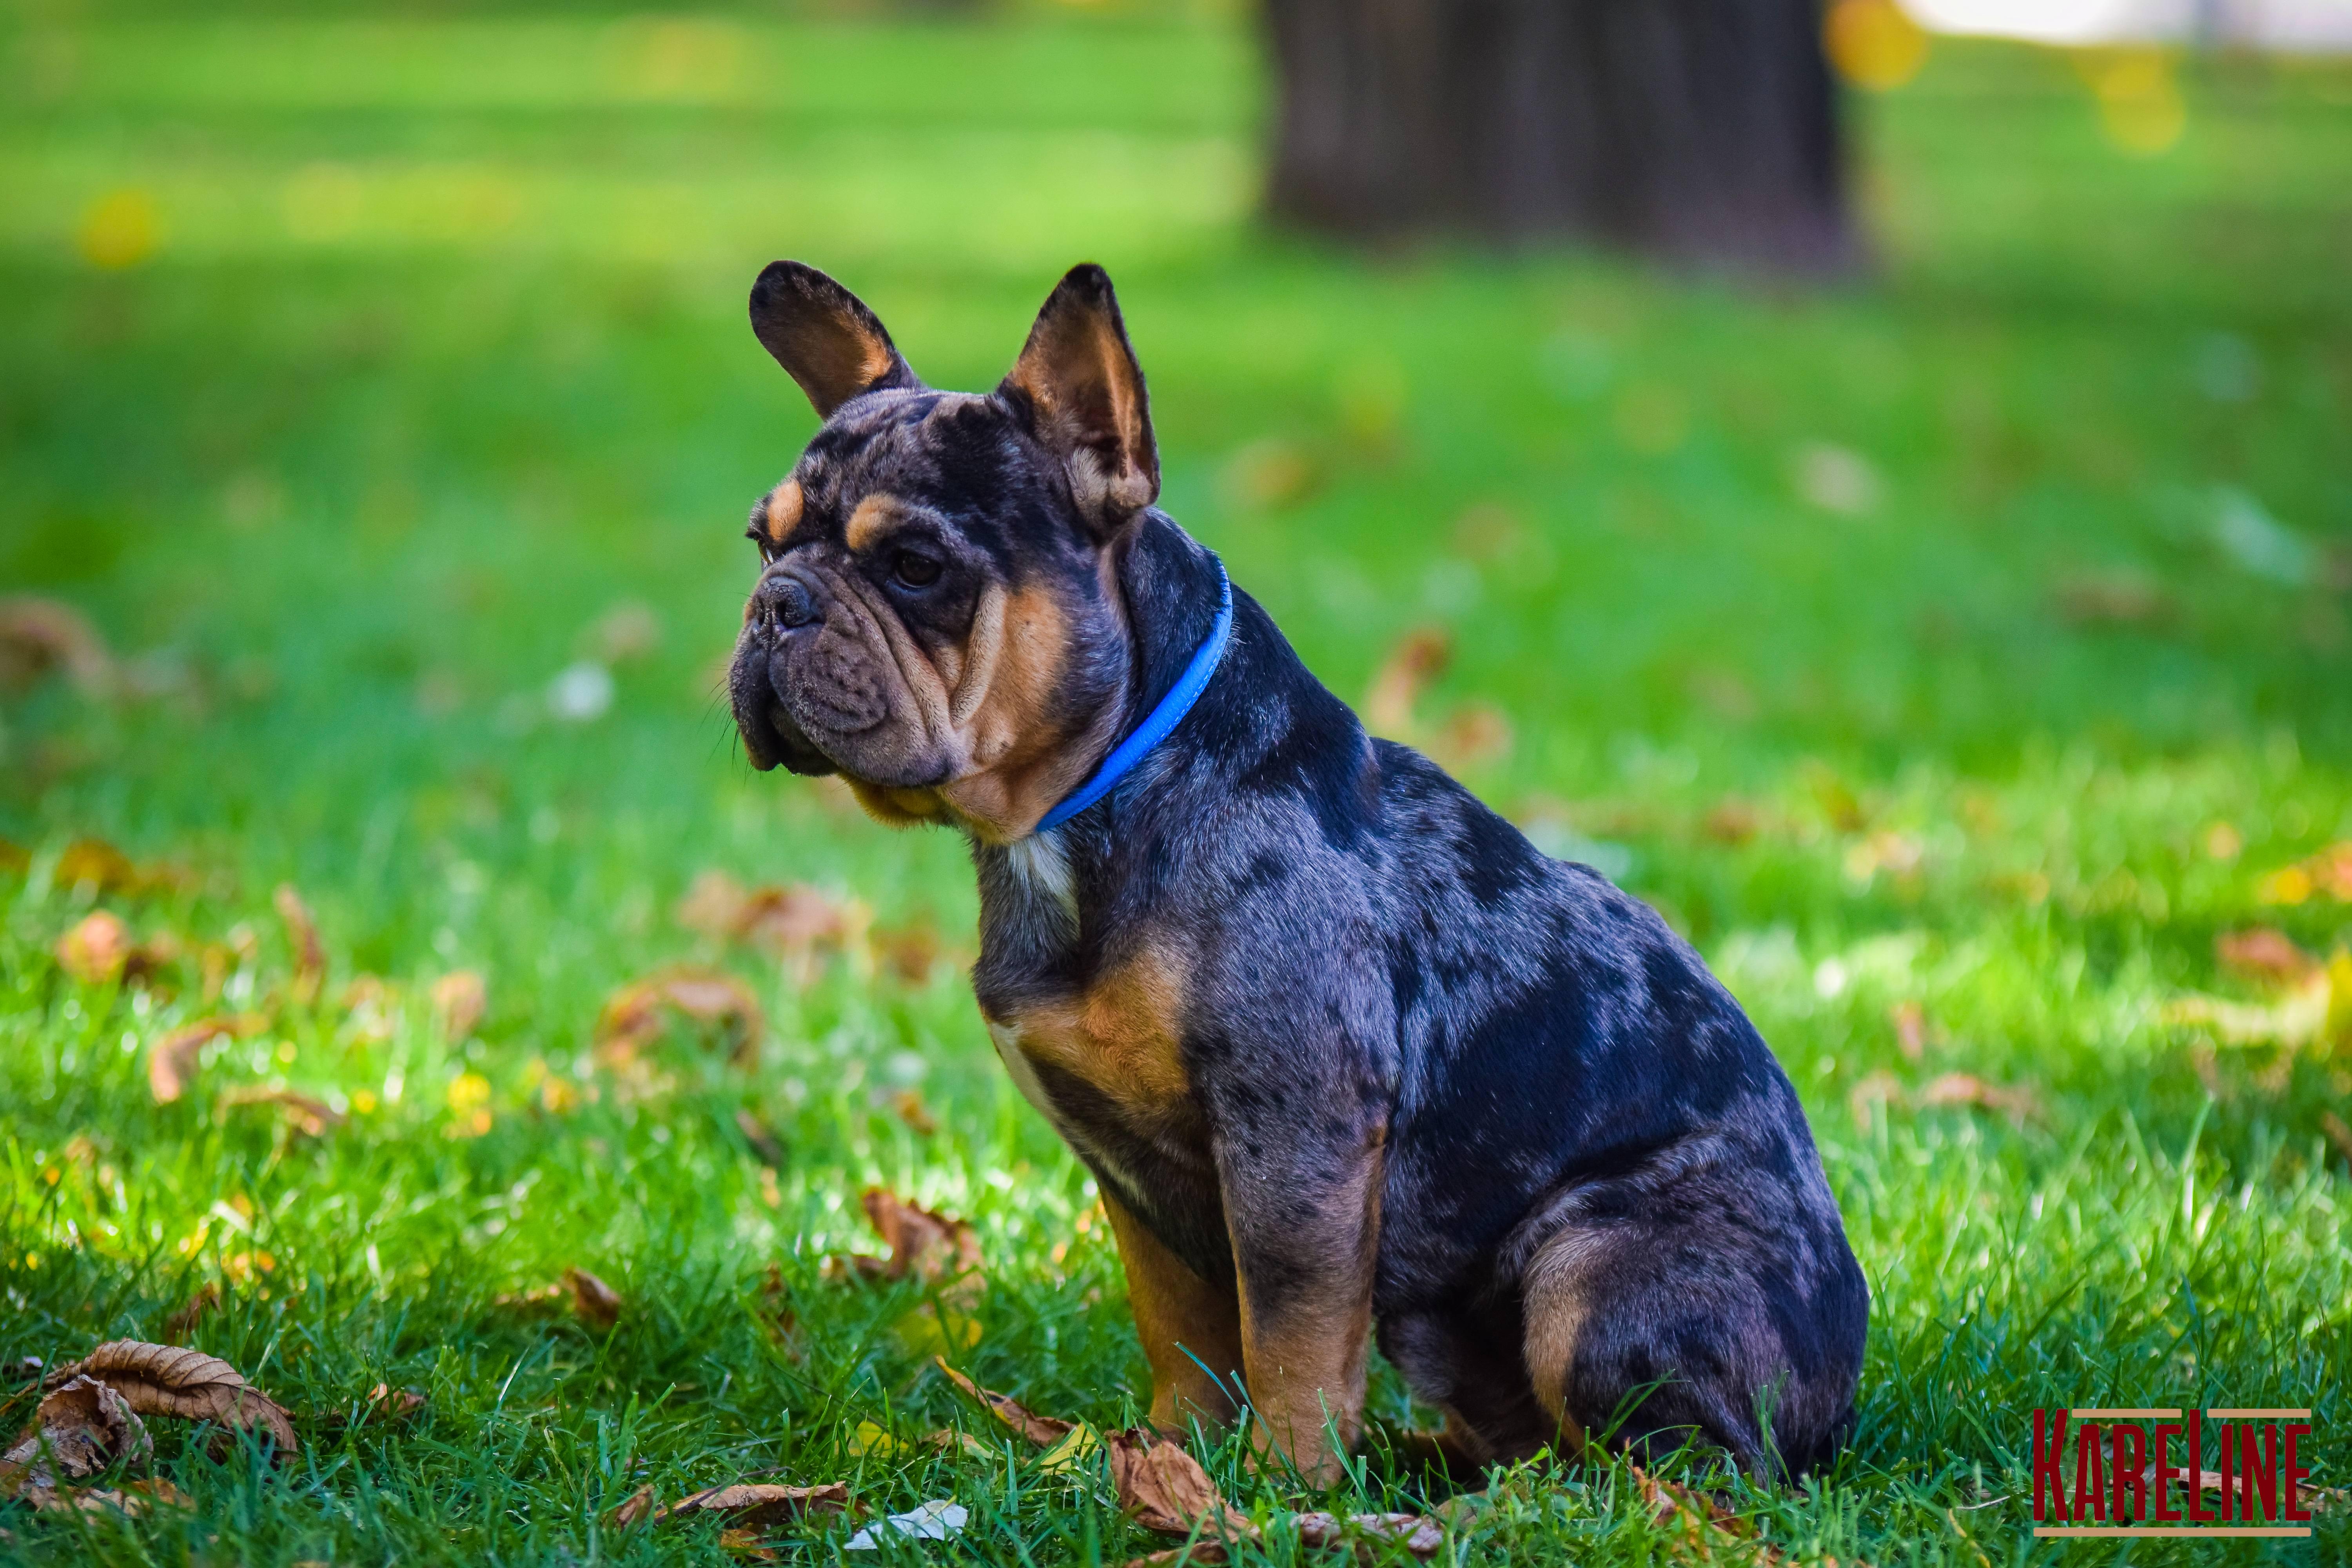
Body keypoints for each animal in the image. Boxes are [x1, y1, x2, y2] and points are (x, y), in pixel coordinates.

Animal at [724, 257, 1863, 1486]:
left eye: (915, 565)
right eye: (762, 544)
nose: (776, 605)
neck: (1096, 796)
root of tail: (1838, 1402)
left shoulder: (1296, 1132)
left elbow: (1291, 1331)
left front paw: (1286, 1485)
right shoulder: (1134, 1179)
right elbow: (1181, 1326)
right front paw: (1173, 1464)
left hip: (1590, 1270)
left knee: (1689, 1465)